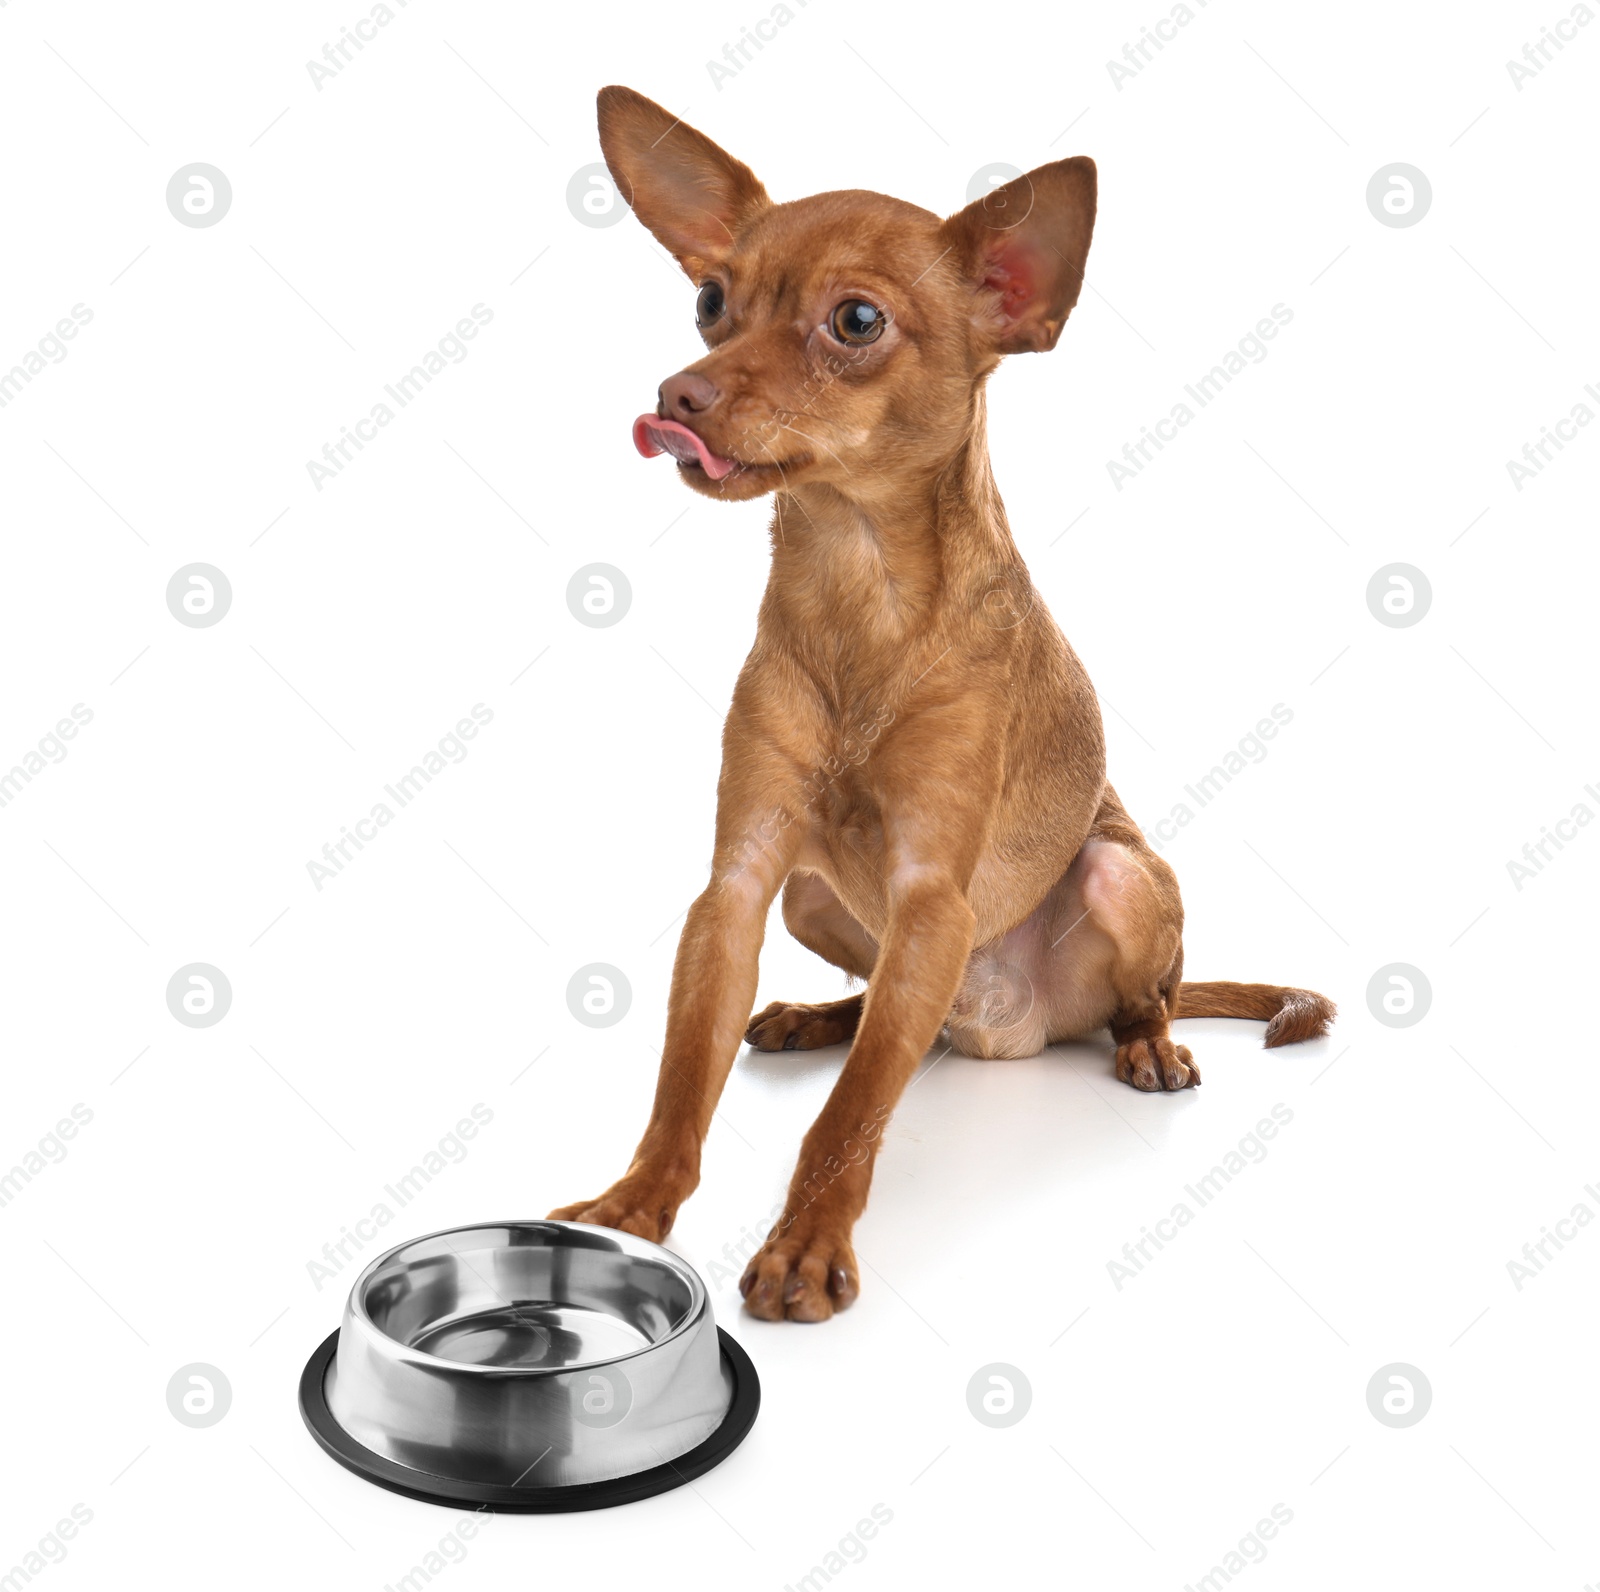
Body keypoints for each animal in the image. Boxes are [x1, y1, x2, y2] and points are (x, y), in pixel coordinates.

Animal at [556, 90, 1331, 1331]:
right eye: (710, 301)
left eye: (856, 321)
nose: (678, 393)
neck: (853, 587)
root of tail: (1008, 1028)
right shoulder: (739, 888)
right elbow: (684, 1078)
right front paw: (635, 1203)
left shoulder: (931, 895)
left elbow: (843, 1121)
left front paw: (804, 1246)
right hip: (817, 903)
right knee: (882, 1021)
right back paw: (813, 1017)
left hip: (1116, 876)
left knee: (1119, 999)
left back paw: (1149, 1045)